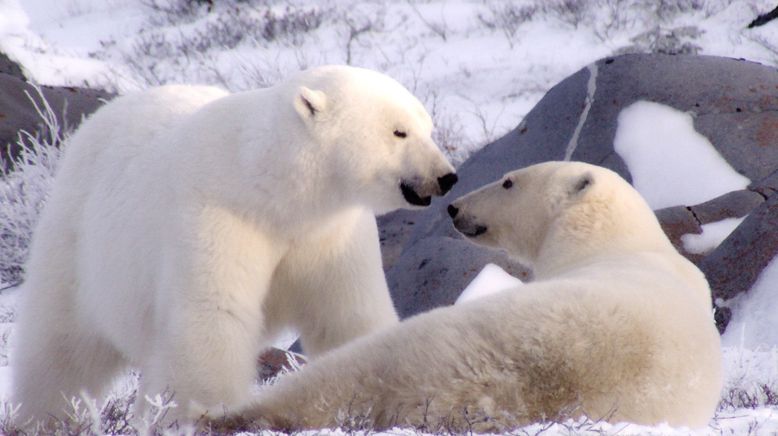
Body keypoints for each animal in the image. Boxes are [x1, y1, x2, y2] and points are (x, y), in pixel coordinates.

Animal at [12, 65, 454, 426]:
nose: (446, 176)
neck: (274, 192)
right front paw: (206, 414)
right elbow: (211, 317)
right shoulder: (220, 218)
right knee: (60, 350)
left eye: (427, 127)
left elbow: (348, 315)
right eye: (398, 131)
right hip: (77, 242)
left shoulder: (330, 234)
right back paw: (44, 419)